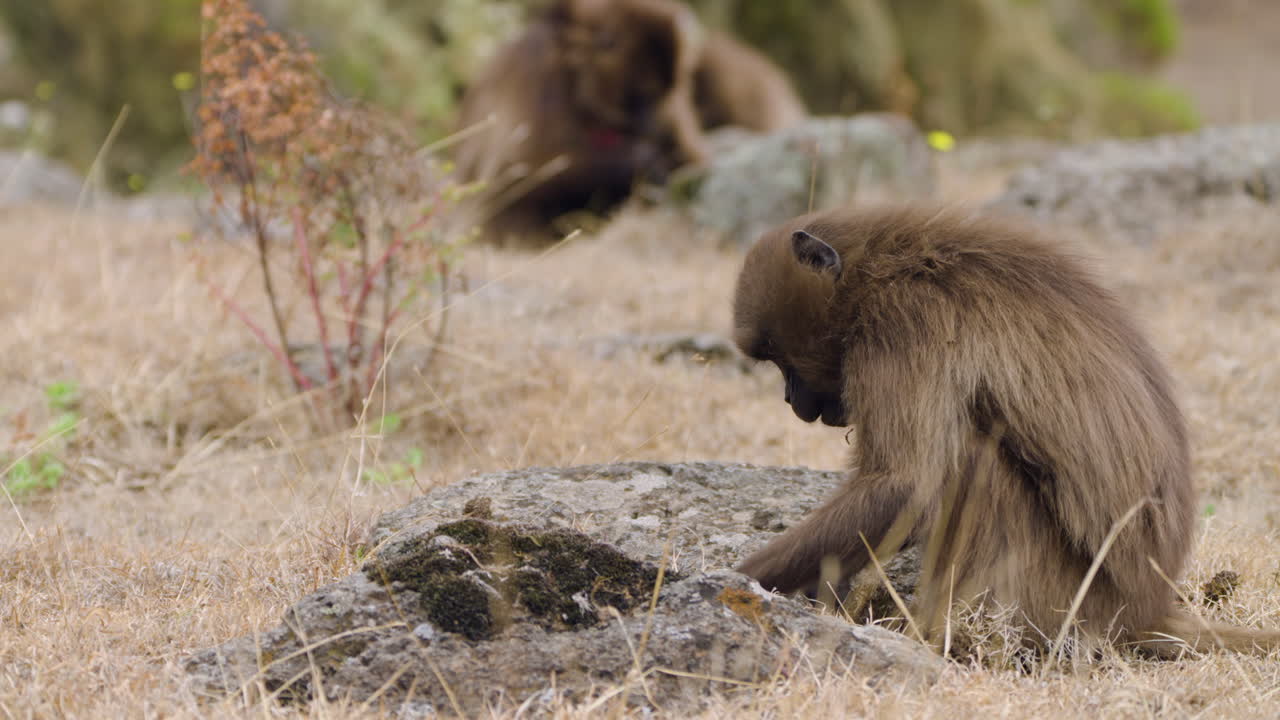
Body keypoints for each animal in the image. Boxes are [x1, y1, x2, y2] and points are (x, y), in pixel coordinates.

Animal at [453, 0, 805, 245]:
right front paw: (640, 164)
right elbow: (520, 172)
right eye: (642, 96)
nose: (650, 129)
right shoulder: (538, 90)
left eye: (657, 96)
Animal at [731, 204, 1280, 656]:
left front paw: (733, 579)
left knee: (970, 455)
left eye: (778, 356)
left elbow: (903, 484)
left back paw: (938, 635)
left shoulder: (902, 321)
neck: (879, 269)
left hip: (1063, 600)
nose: (791, 400)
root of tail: (1143, 610)